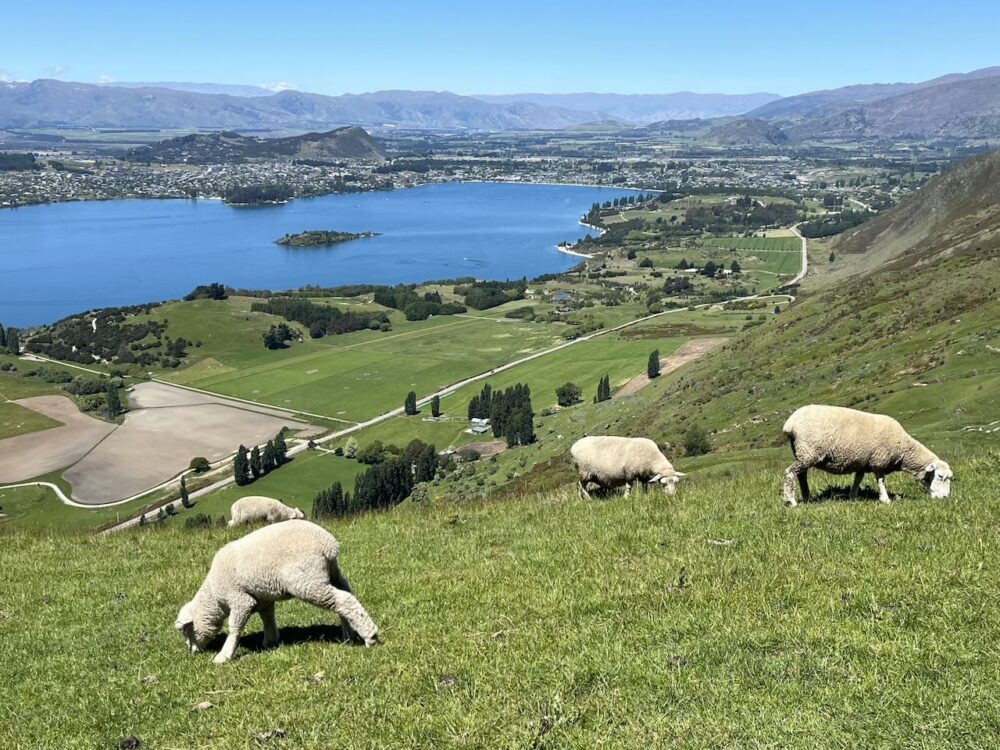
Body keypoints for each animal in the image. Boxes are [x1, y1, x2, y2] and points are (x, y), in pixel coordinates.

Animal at [176, 520, 378, 668]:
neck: (214, 595)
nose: (191, 651)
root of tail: (328, 544)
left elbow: (234, 626)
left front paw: (224, 655)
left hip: (307, 581)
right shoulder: (262, 599)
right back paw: (349, 634)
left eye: (187, 631)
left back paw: (371, 637)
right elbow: (267, 618)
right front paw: (271, 640)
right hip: (331, 573)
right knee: (345, 596)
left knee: (343, 600)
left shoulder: (241, 599)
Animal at [780, 408, 952, 508]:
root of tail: (790, 423)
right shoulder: (879, 460)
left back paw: (807, 497)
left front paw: (853, 496)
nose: (945, 497)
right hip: (808, 451)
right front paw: (885, 499)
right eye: (940, 476)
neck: (903, 450)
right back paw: (792, 501)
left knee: (801, 475)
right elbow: (881, 481)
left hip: (802, 453)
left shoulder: (863, 461)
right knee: (790, 473)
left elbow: (858, 479)